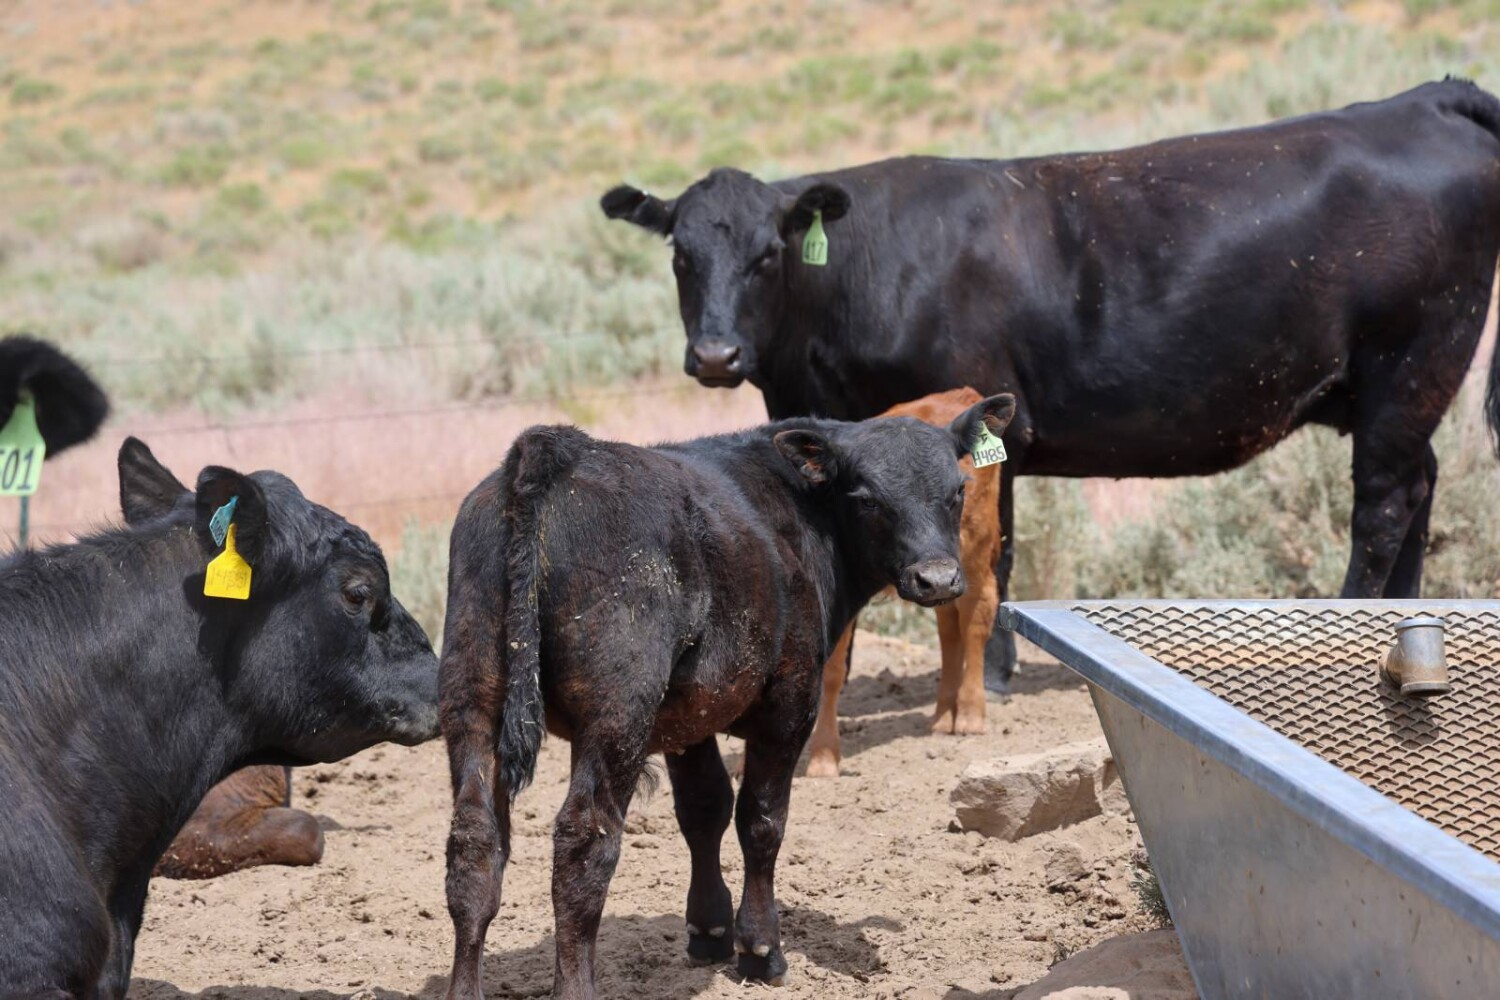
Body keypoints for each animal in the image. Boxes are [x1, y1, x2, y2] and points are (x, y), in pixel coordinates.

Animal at [602, 78, 1500, 692]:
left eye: (768, 254)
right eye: (680, 255)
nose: (716, 355)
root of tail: (1424, 99)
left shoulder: (985, 419)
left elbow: (992, 551)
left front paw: (987, 675)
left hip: (1411, 362)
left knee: (1382, 506)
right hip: (1391, 393)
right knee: (1419, 490)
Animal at [805, 387, 1002, 779]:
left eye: (958, 490)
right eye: (867, 500)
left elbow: (831, 672)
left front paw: (822, 757)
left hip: (969, 558)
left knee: (975, 619)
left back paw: (970, 715)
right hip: (946, 577)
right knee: (949, 628)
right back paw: (943, 716)